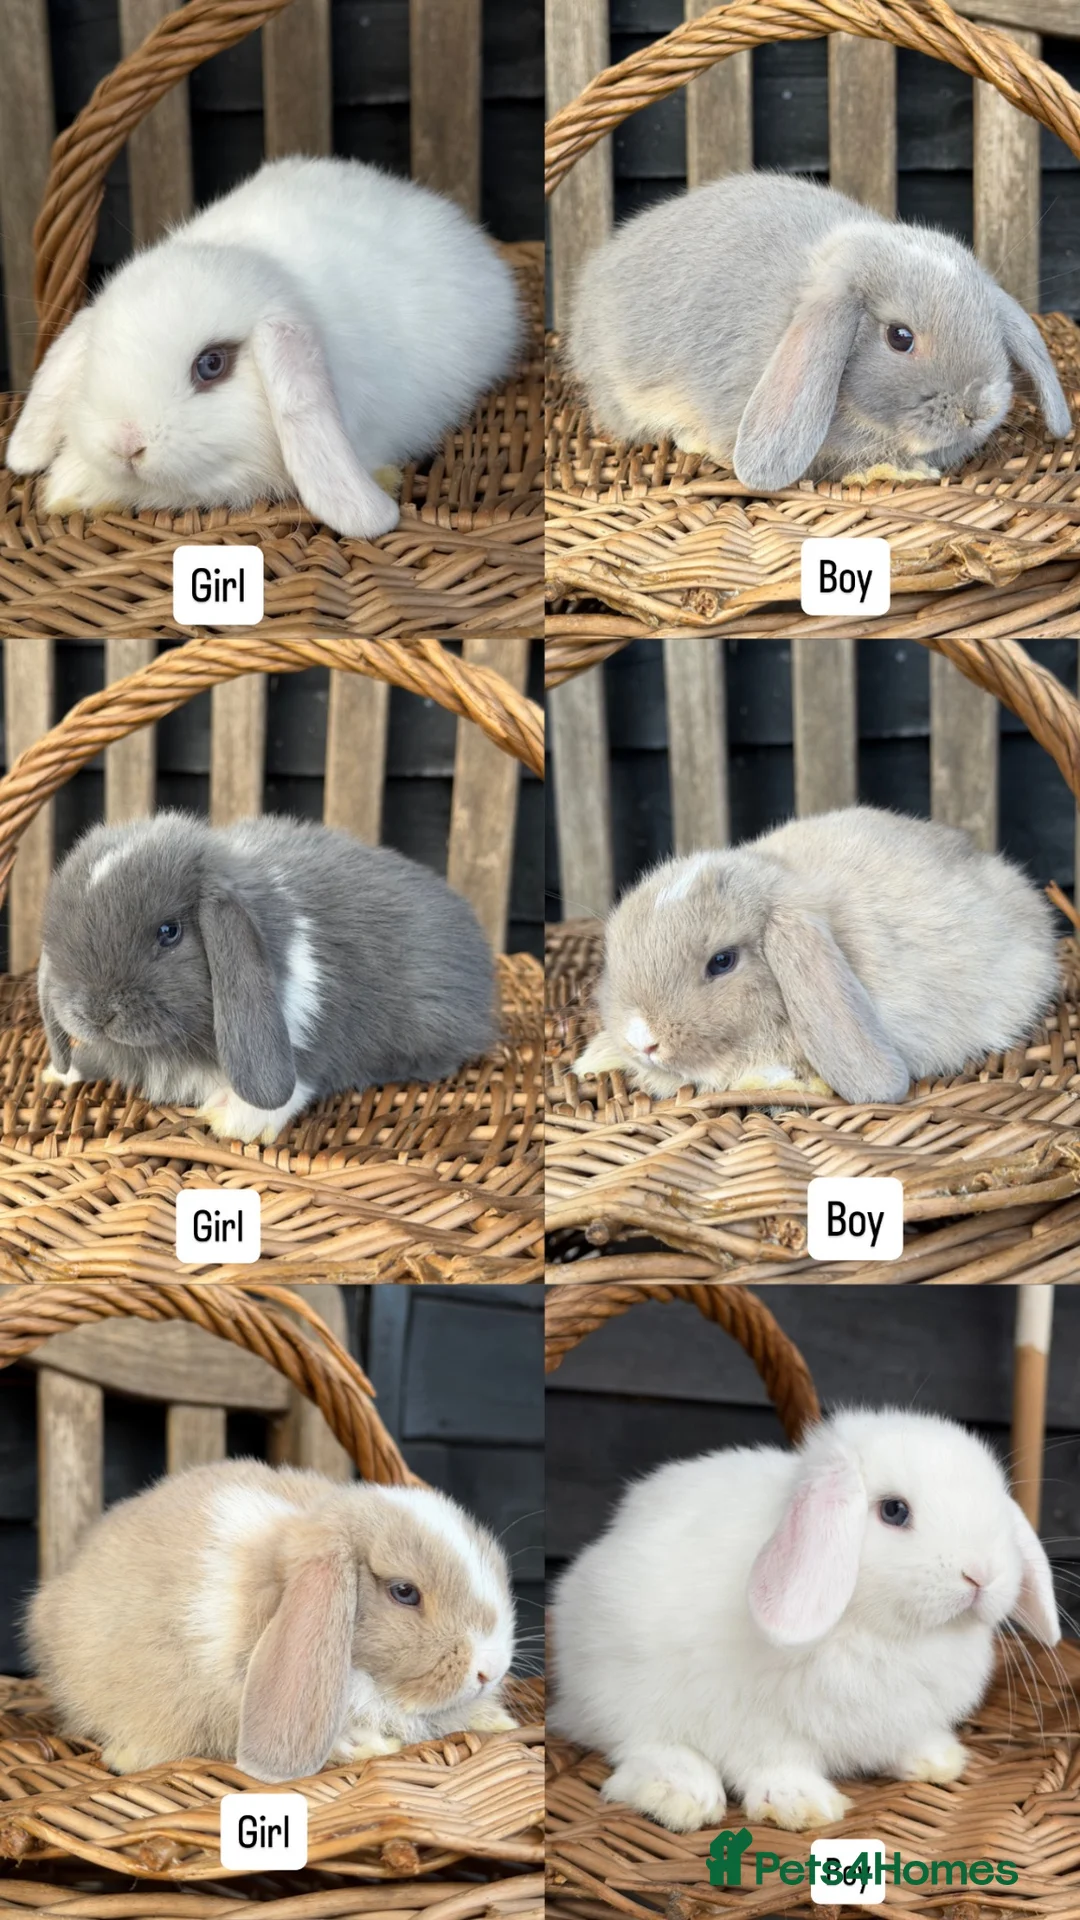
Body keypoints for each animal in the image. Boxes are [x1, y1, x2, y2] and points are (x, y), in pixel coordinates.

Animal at [550, 1407, 1060, 1834]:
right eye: (894, 1511)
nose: (982, 1574)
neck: (885, 1631)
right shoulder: (752, 1718)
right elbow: (774, 1758)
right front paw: (801, 1804)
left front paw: (938, 1759)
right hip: (617, 1684)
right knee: (638, 1746)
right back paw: (681, 1794)